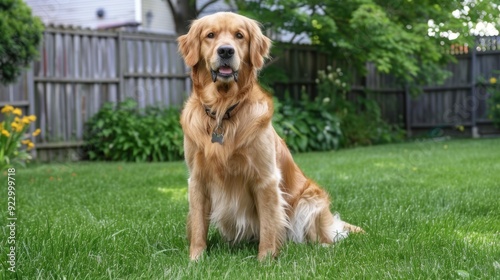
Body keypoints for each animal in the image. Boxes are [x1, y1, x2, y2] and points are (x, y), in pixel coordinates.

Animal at [177, 10, 364, 260]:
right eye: (210, 35)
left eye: (239, 35)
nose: (226, 51)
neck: (223, 111)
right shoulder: (197, 179)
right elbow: (198, 224)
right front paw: (195, 259)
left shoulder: (265, 178)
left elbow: (268, 223)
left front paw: (265, 259)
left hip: (310, 201)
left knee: (323, 237)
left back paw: (320, 247)